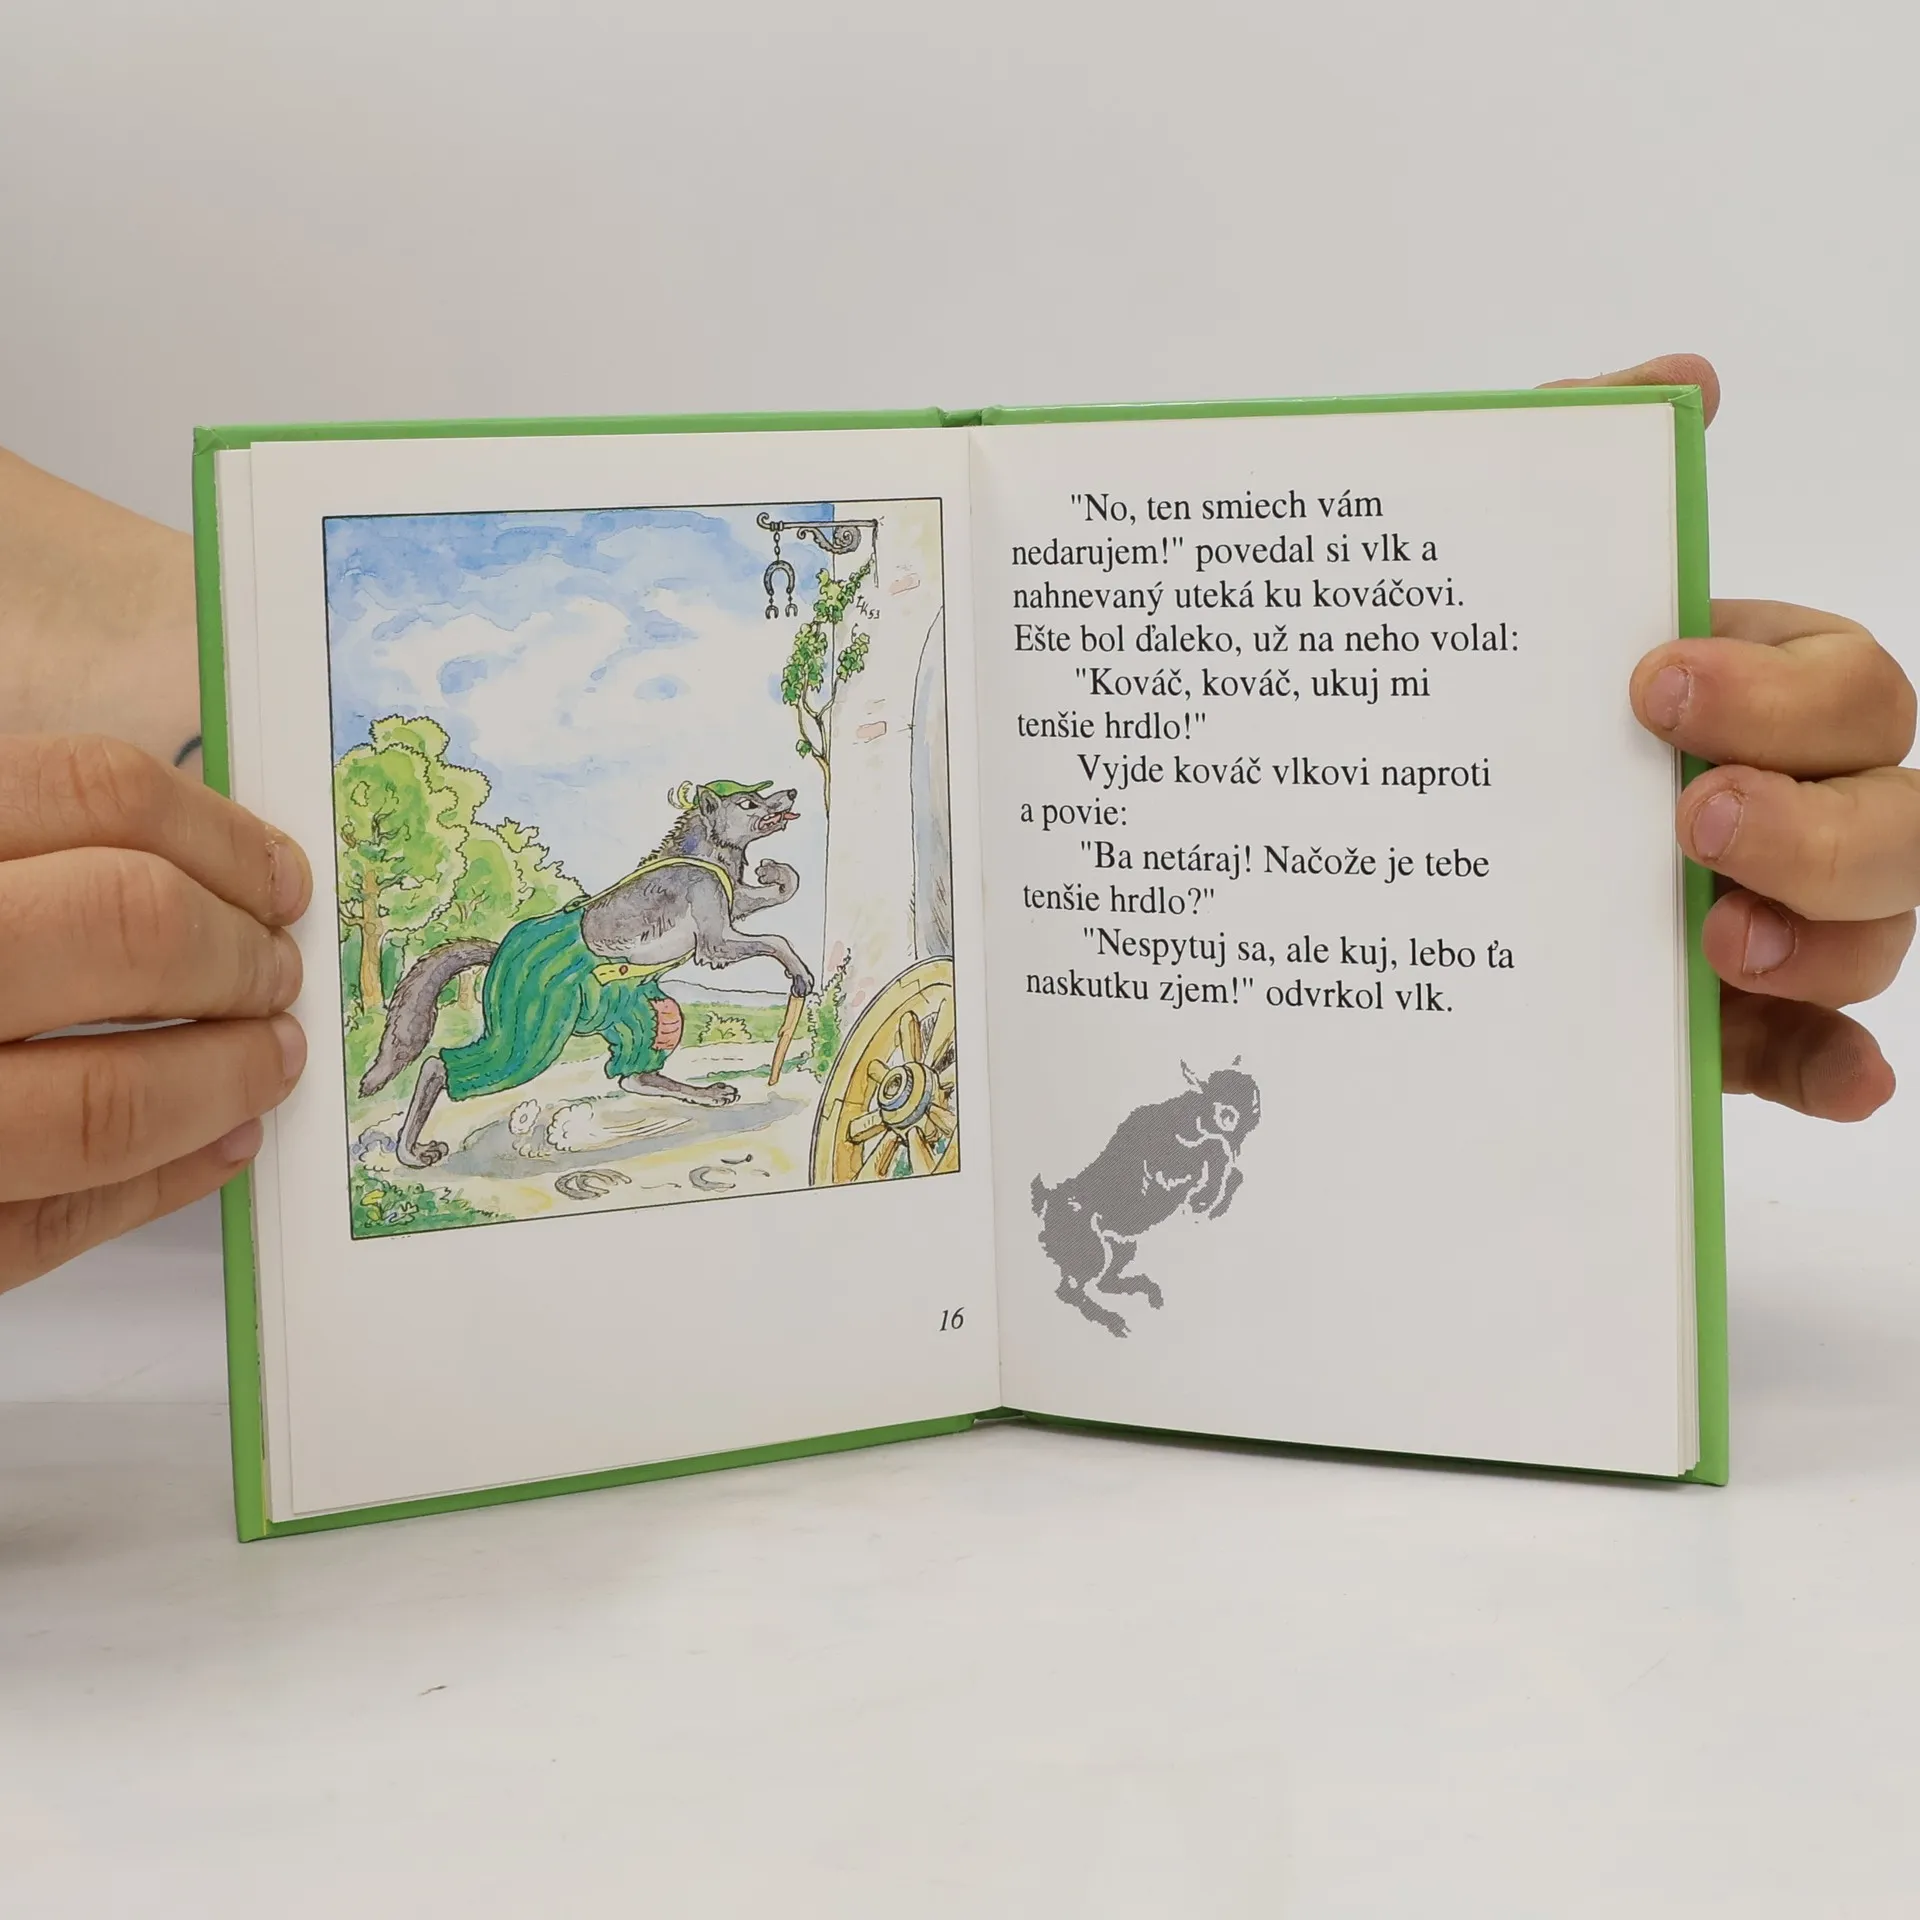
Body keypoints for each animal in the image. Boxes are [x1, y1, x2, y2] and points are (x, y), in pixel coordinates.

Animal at [360, 779, 814, 1169]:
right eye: (749, 803)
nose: (792, 792)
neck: (704, 856)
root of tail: (499, 949)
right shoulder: (715, 941)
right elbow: (774, 940)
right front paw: (800, 973)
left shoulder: (733, 906)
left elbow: (786, 888)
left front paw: (776, 873)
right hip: (526, 1038)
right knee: (440, 1066)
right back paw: (410, 1153)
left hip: (633, 1011)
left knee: (635, 1073)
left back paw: (706, 1094)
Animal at [1031, 1064, 1261, 1337]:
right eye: (1224, 1110)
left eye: (1255, 1104)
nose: (1244, 1122)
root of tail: (1046, 1203)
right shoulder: (1165, 1171)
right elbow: (1214, 1147)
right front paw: (1203, 1200)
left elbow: (1232, 1170)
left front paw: (1211, 1205)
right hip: (1090, 1251)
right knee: (1070, 1290)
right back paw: (1115, 1321)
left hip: (1122, 1245)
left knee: (1103, 1282)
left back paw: (1148, 1291)